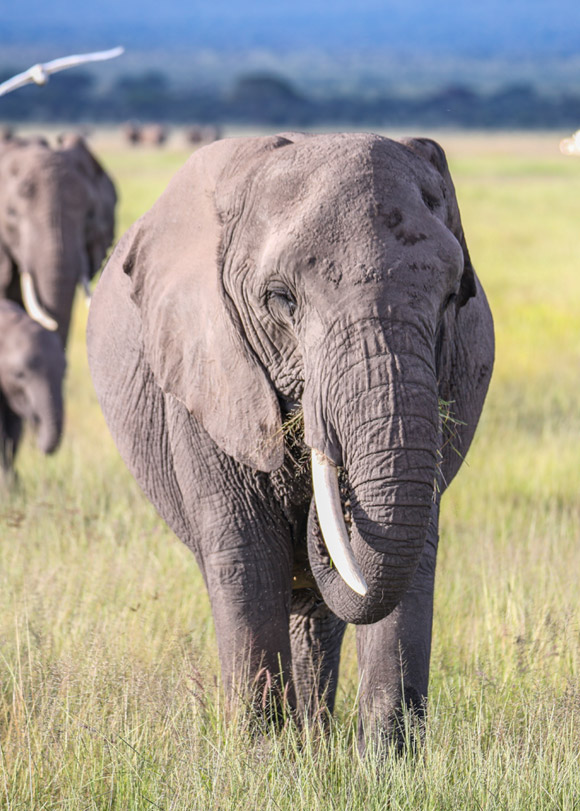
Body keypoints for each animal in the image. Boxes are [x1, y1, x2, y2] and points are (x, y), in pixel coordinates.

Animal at [87, 132, 494, 748]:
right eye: (281, 299)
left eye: (452, 296)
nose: (323, 509)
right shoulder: (204, 370)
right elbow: (246, 553)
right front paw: (260, 756)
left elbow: (415, 549)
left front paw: (388, 761)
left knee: (320, 613)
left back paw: (317, 742)